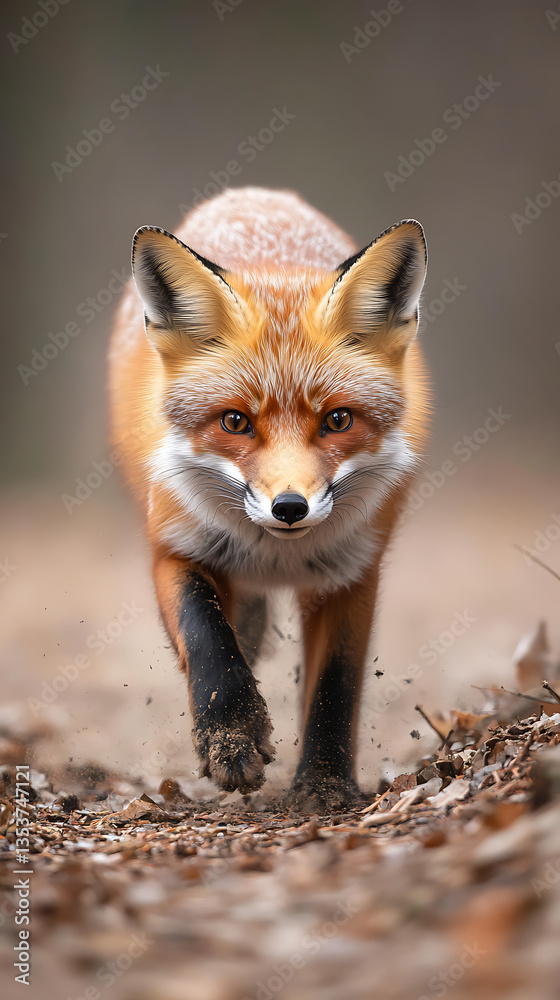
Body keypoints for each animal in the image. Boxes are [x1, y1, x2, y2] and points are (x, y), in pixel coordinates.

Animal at [109, 186, 429, 810]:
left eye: (337, 420)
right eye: (235, 421)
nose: (289, 508)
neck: (278, 555)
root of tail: (253, 195)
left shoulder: (352, 574)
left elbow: (335, 686)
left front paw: (325, 786)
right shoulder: (175, 546)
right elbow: (207, 637)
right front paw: (230, 736)